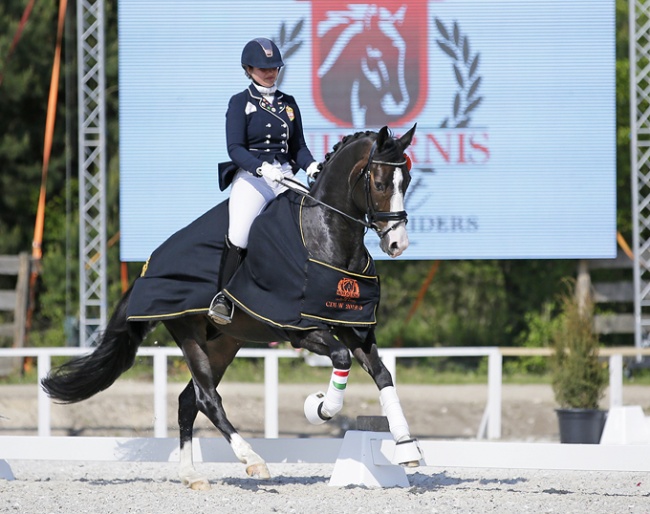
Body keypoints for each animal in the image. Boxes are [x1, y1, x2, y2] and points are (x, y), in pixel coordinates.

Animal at [40, 124, 418, 488]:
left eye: (408, 180)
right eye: (381, 183)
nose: (397, 243)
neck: (325, 234)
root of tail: (149, 265)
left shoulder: (352, 326)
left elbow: (383, 375)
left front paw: (406, 446)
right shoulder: (301, 330)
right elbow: (341, 359)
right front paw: (320, 407)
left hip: (224, 341)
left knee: (188, 401)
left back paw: (192, 476)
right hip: (188, 333)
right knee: (207, 399)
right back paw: (252, 460)